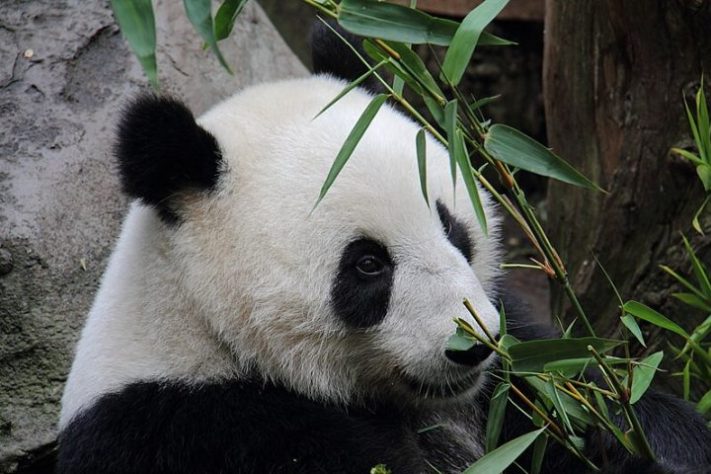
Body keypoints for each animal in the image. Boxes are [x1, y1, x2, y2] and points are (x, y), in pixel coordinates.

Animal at [57, 28, 711, 474]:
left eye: (451, 227)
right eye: (367, 264)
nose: (474, 346)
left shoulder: (515, 365)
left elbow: (570, 387)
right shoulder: (197, 427)